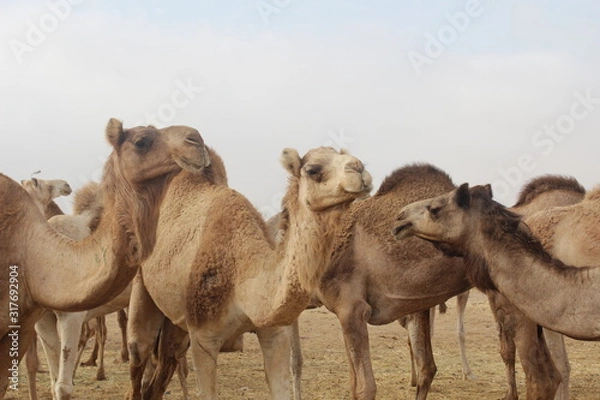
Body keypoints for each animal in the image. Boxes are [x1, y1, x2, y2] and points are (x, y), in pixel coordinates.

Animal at [0, 116, 211, 396]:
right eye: (141, 141)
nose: (196, 140)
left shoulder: (70, 315)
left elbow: (63, 386)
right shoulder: (39, 320)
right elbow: (52, 380)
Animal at [125, 145, 372, 398]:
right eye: (313, 169)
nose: (359, 169)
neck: (242, 282)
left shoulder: (274, 333)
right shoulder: (203, 337)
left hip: (176, 323)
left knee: (165, 364)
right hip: (143, 284)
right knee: (138, 353)